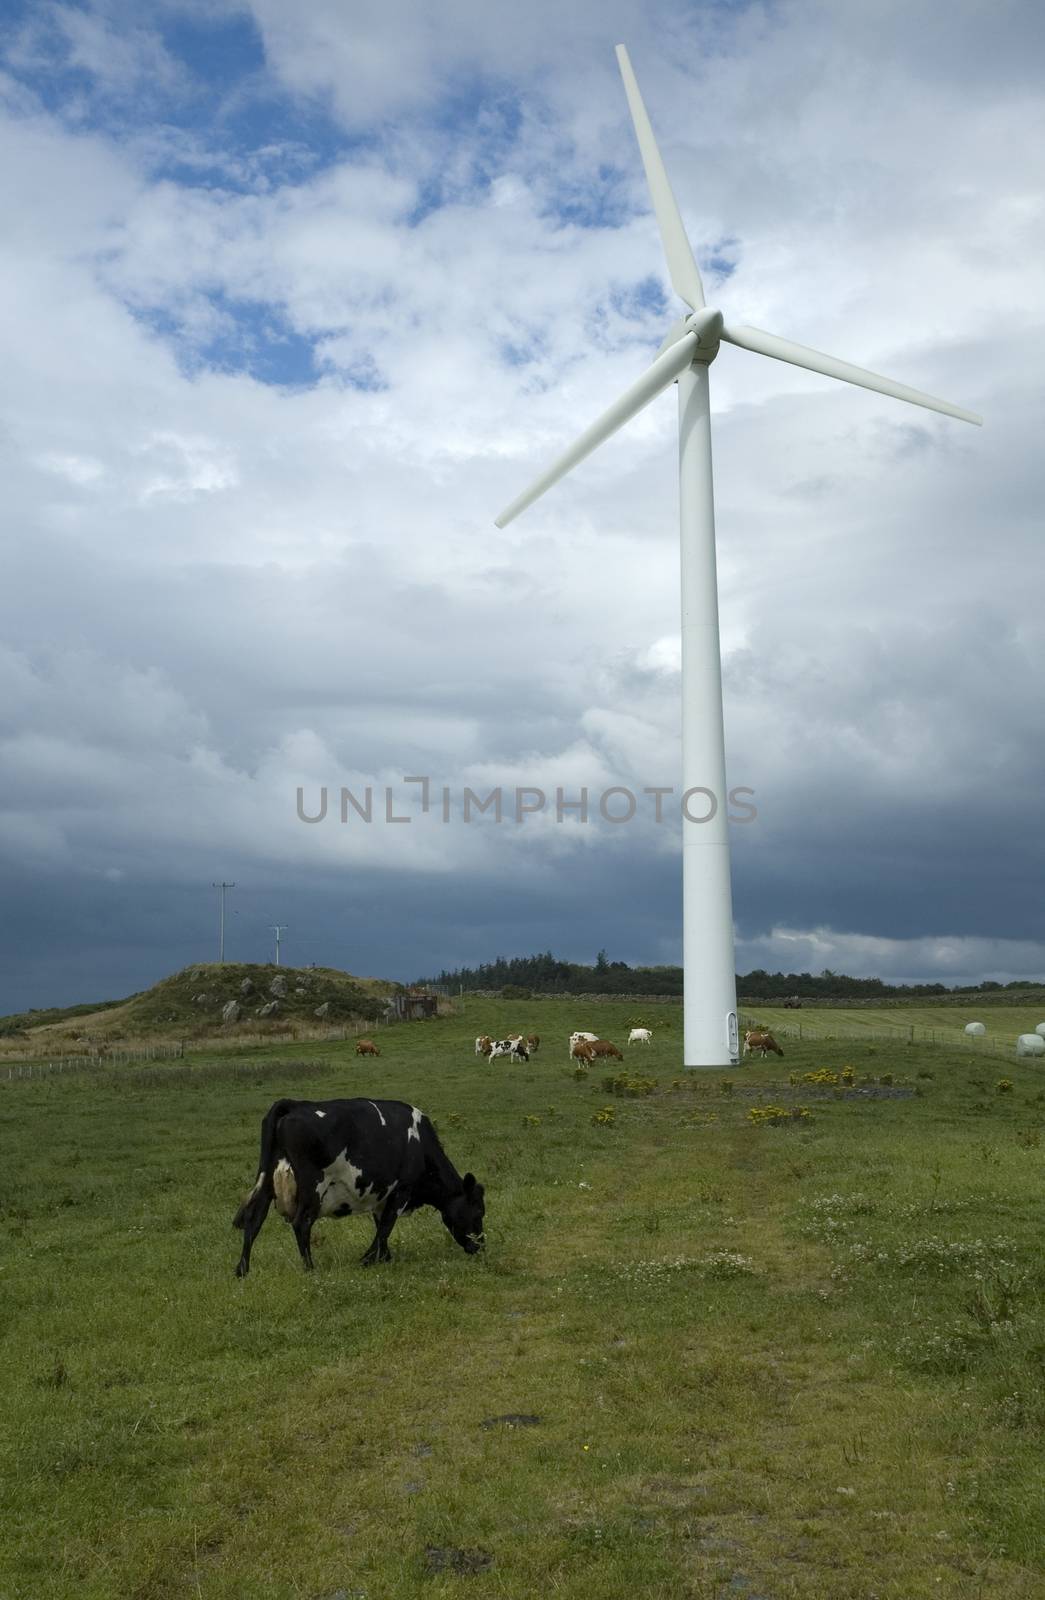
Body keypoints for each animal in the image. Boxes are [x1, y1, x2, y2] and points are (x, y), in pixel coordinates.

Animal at [232, 1088, 486, 1273]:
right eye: (478, 1212)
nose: (480, 1247)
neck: (422, 1146)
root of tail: (295, 1104)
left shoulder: (383, 1195)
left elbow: (380, 1223)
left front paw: (384, 1257)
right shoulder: (402, 1190)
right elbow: (386, 1226)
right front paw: (367, 1259)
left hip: (267, 1181)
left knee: (254, 1219)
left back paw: (243, 1270)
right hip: (313, 1186)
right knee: (302, 1222)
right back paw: (310, 1269)